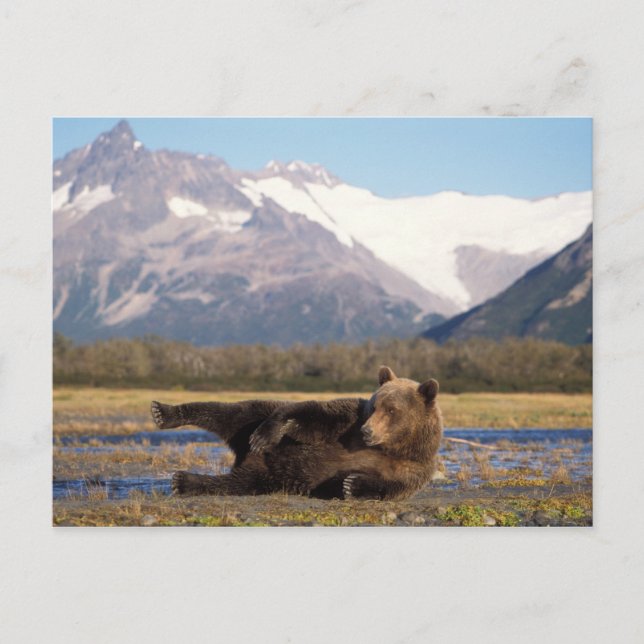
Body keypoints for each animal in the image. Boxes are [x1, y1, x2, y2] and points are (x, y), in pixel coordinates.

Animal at [150, 365, 443, 501]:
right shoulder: (348, 424)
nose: (367, 430)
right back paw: (164, 413)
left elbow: (392, 487)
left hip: (268, 478)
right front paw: (266, 435)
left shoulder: (414, 466)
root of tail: (244, 457)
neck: (391, 446)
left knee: (235, 484)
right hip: (252, 423)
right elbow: (312, 416)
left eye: (392, 410)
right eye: (374, 405)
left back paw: (184, 481)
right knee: (234, 412)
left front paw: (351, 484)